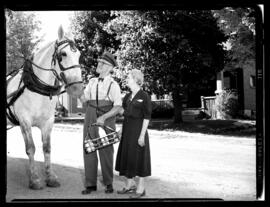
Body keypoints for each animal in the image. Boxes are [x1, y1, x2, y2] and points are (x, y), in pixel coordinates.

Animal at [6, 25, 84, 189]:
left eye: (79, 54)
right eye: (63, 54)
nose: (78, 89)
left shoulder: (48, 122)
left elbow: (47, 148)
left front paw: (50, 176)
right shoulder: (25, 120)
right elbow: (31, 148)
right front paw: (35, 179)